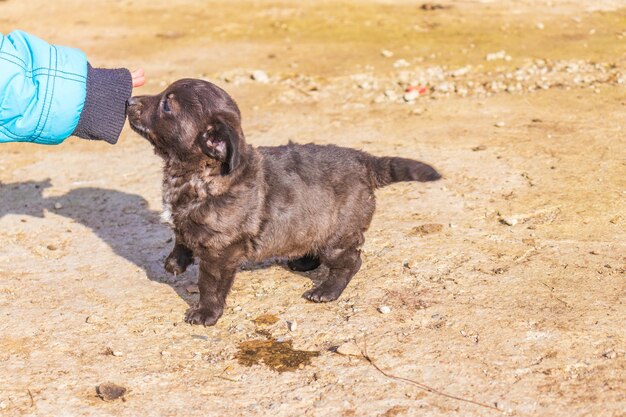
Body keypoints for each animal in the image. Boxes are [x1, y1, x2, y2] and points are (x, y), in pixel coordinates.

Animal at [127, 79, 438, 324]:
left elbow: (210, 284)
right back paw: (303, 261)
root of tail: (365, 161)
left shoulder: (220, 250)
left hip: (337, 237)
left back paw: (326, 291)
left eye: (167, 106)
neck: (194, 174)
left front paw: (206, 313)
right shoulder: (188, 225)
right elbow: (180, 236)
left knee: (351, 261)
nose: (130, 100)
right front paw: (174, 263)